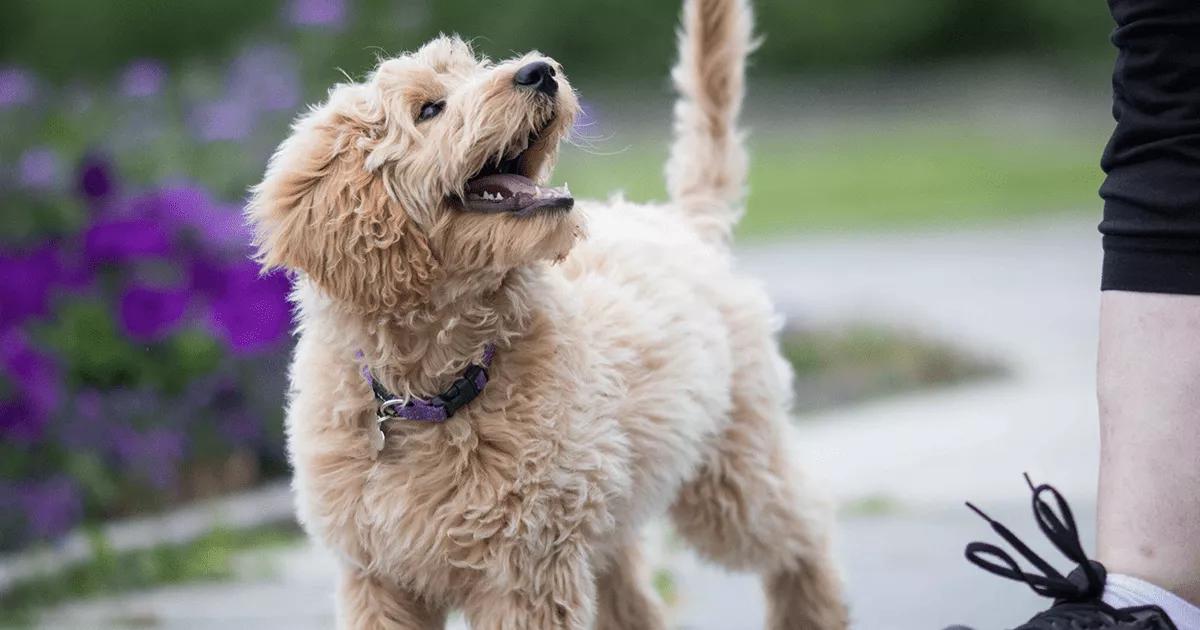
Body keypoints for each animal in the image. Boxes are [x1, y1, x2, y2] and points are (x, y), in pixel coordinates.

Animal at [246, 0, 844, 624]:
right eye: (429, 109)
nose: (541, 72)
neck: (437, 390)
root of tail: (683, 223)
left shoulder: (526, 570)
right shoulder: (376, 577)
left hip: (730, 472)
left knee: (805, 528)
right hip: (607, 518)